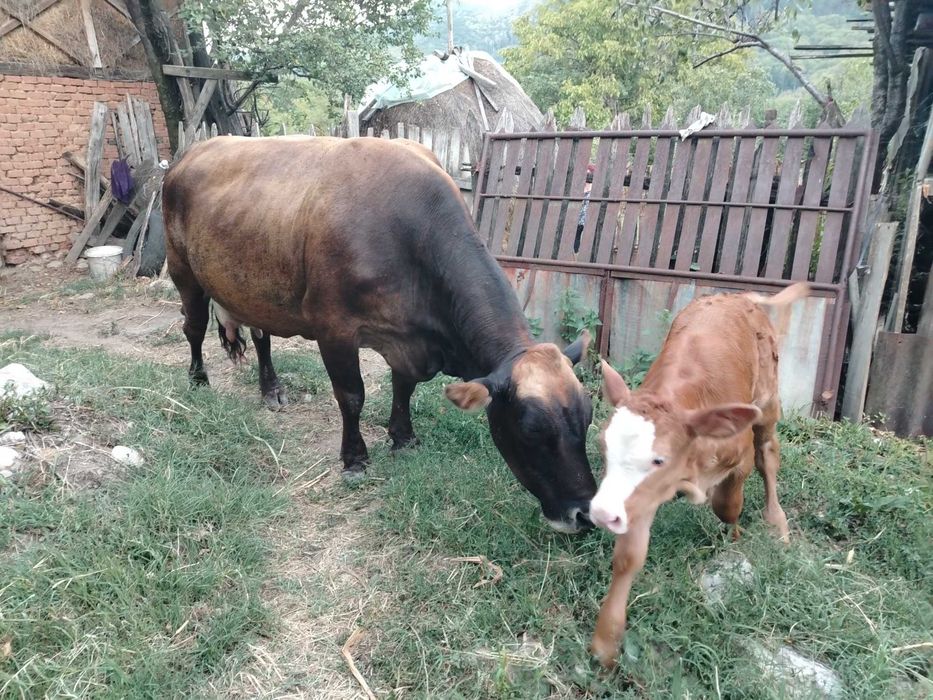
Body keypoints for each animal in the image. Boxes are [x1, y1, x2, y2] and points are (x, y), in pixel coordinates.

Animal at [162, 135, 597, 533]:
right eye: (530, 429)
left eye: (589, 417)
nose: (584, 514)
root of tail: (191, 152)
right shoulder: (334, 328)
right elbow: (352, 396)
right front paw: (355, 458)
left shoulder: (407, 338)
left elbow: (403, 387)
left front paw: (403, 438)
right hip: (183, 271)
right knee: (193, 328)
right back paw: (198, 380)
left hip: (252, 287)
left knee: (260, 336)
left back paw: (271, 389)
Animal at [586, 282, 810, 667]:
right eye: (603, 447)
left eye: (659, 459)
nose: (601, 514)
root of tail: (737, 297)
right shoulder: (639, 497)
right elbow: (628, 557)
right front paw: (606, 642)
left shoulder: (736, 456)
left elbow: (728, 504)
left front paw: (734, 535)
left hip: (767, 398)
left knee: (768, 452)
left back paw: (777, 523)